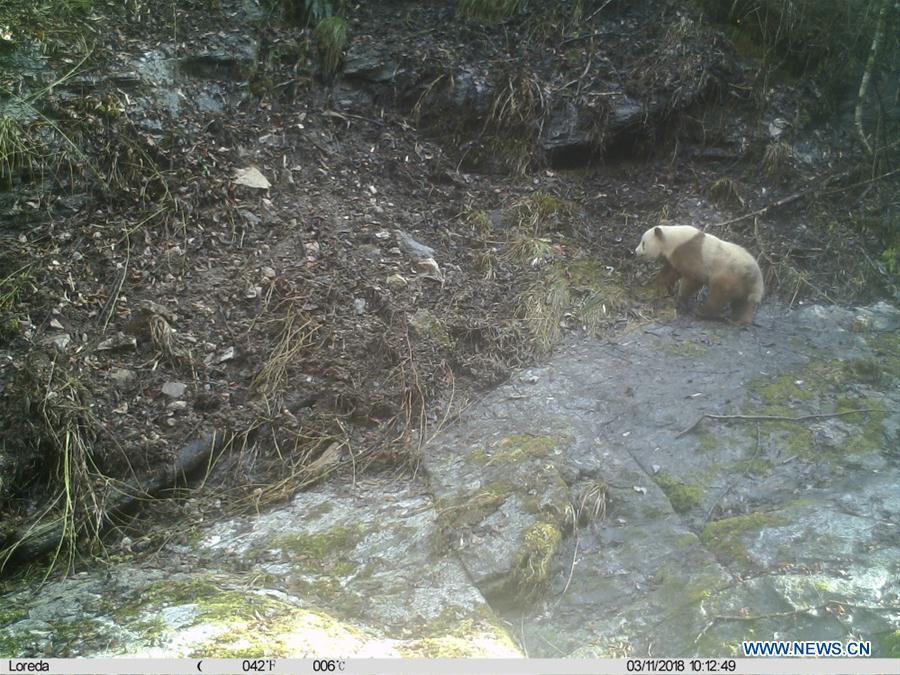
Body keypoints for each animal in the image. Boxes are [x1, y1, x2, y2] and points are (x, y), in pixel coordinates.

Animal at [635, 224, 764, 324]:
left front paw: (681, 300)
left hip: (730, 275)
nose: (636, 251)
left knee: (719, 295)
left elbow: (693, 279)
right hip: (744, 284)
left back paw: (702, 312)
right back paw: (740, 320)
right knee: (743, 303)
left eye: (643, 243)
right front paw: (661, 285)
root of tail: (755, 277)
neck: (672, 237)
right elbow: (672, 272)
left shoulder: (690, 252)